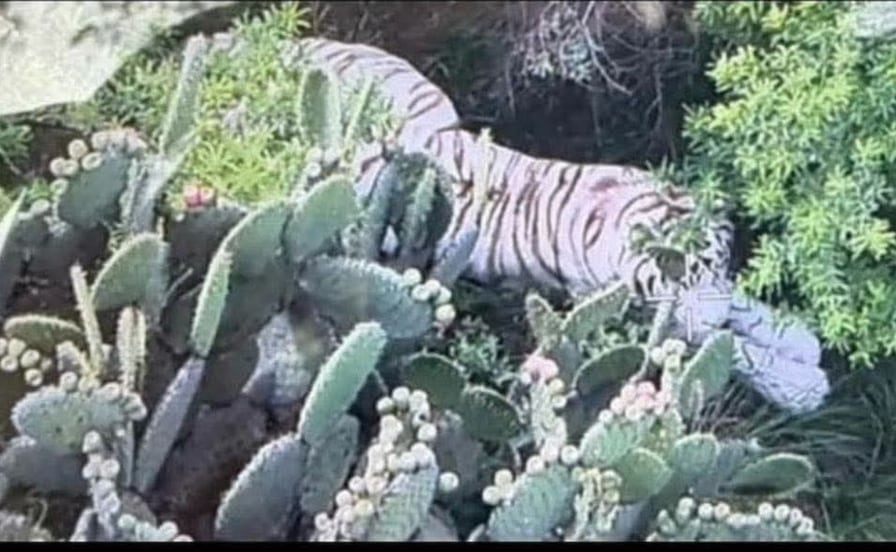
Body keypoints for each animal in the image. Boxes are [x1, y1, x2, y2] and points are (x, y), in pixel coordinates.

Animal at [293, 37, 830, 413]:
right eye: (679, 280)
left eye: (715, 265)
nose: (713, 316)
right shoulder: (641, 313)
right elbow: (733, 349)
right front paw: (803, 384)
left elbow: (743, 306)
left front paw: (797, 338)